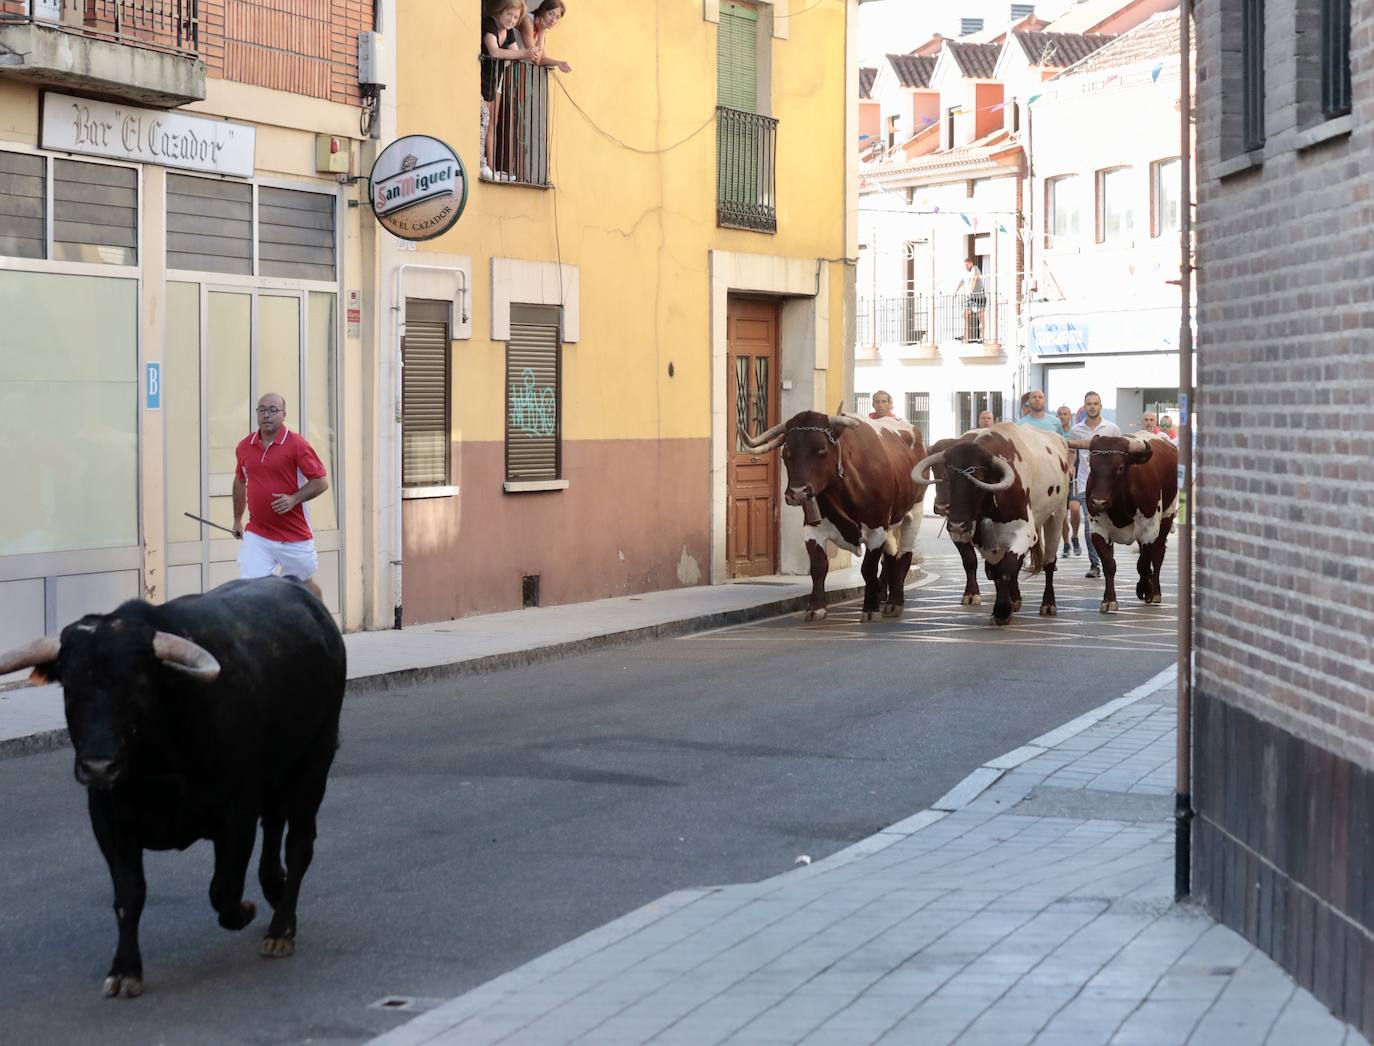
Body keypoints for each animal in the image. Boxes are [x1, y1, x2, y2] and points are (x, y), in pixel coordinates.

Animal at [0, 580, 342, 995]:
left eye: (139, 685)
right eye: (69, 685)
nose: (98, 767)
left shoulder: (237, 815)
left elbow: (223, 888)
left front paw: (244, 911)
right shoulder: (109, 822)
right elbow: (129, 895)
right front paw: (125, 969)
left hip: (314, 762)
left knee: (299, 844)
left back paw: (281, 928)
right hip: (277, 772)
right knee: (276, 825)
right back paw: (275, 890)